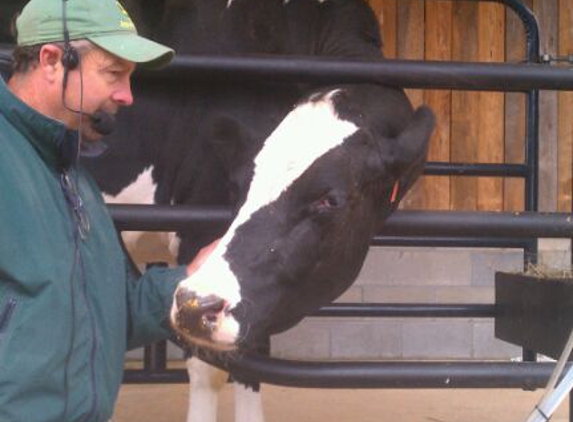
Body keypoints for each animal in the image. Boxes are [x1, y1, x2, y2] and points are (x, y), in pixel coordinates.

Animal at [79, 0, 434, 422]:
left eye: (330, 200)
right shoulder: (194, 232)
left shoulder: (262, 294)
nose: (194, 302)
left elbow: (251, 362)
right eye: (240, 184)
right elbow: (209, 369)